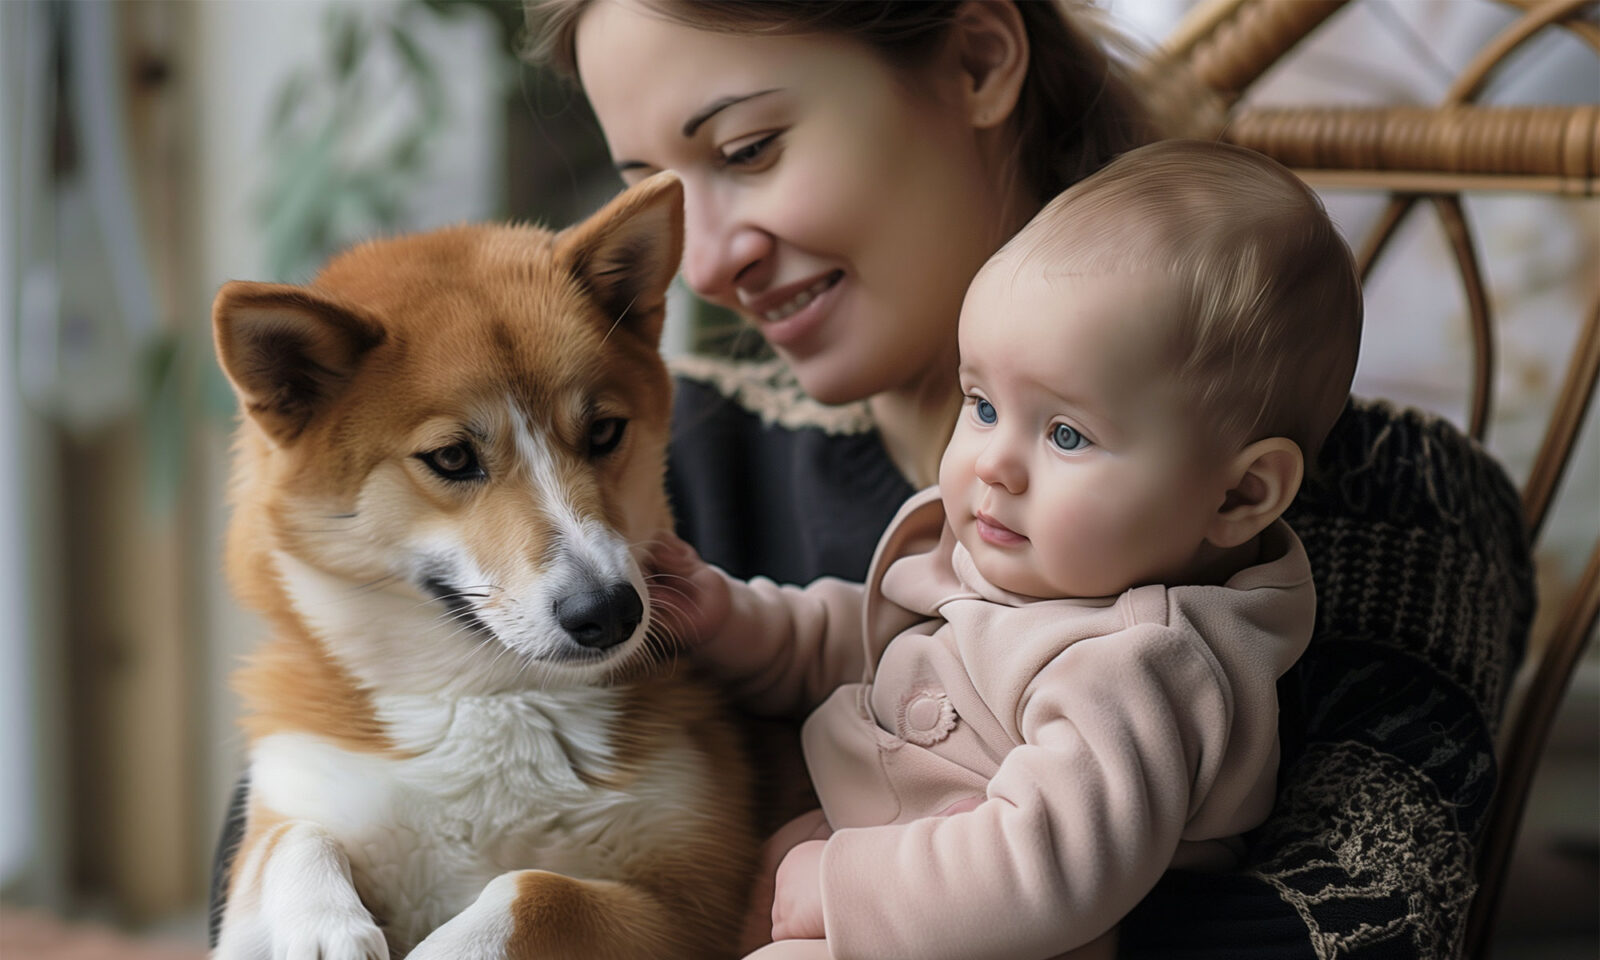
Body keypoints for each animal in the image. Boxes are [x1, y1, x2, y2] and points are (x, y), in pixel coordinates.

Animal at [211, 172, 755, 960]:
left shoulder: (690, 908)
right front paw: (324, 928)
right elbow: (294, 838)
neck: (488, 696)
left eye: (603, 431)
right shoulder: (285, 808)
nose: (609, 613)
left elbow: (533, 890)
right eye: (452, 457)